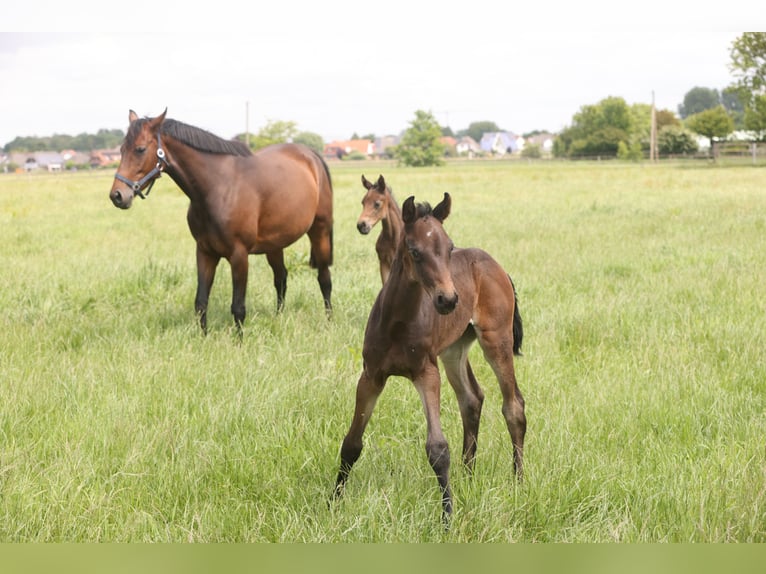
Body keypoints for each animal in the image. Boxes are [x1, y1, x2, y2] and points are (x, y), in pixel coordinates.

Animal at [109, 109, 334, 333]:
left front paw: (239, 340)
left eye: (140, 149)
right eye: (121, 149)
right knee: (281, 278)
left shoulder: (239, 255)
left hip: (319, 232)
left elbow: (238, 307)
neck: (219, 187)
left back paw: (329, 321)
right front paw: (203, 337)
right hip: (274, 245)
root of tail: (311, 155)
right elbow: (200, 302)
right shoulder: (205, 252)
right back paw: (279, 318)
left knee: (324, 279)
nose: (117, 195)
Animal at [332, 193, 526, 522]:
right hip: (454, 349)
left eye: (449, 248)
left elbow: (437, 447)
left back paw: (519, 481)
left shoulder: (426, 373)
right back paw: (468, 475)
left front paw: (447, 518)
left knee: (513, 405)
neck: (397, 322)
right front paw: (332, 501)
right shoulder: (371, 375)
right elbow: (351, 442)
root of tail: (495, 265)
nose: (448, 299)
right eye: (414, 250)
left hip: (496, 339)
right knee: (472, 398)